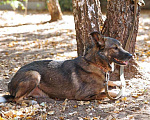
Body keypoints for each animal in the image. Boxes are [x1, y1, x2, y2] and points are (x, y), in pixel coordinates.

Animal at [0, 31, 132, 103]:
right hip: (34, 74)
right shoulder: (83, 95)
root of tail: (10, 83)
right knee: (16, 99)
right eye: (115, 48)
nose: (131, 55)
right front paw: (122, 93)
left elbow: (110, 83)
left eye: (121, 46)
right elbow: (106, 93)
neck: (96, 64)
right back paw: (31, 102)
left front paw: (121, 84)